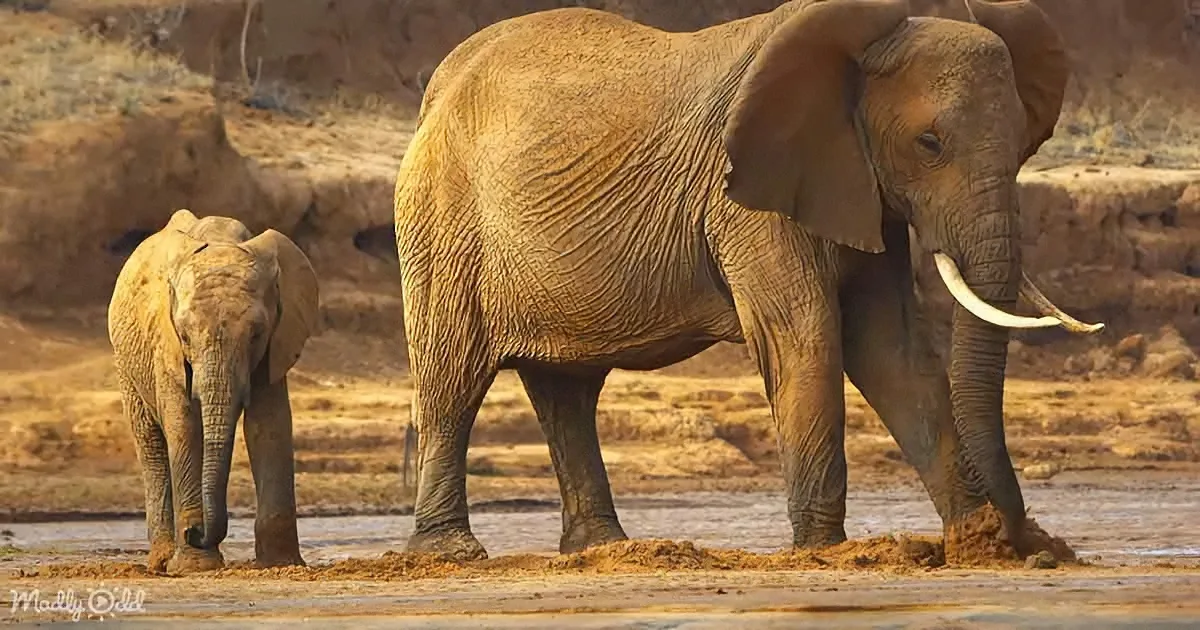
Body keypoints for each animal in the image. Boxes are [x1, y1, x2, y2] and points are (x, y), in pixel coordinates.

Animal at [107, 209, 319, 574]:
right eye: (184, 335)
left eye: (256, 334)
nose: (195, 532)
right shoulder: (165, 347)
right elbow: (184, 426)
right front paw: (195, 567)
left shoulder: (276, 341)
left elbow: (269, 426)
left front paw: (280, 564)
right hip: (126, 364)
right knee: (150, 442)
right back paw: (161, 562)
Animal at [391, 0, 1104, 561]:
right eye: (929, 144)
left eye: (1024, 144)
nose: (1036, 542)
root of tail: (436, 90)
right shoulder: (749, 199)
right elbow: (807, 339)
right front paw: (824, 553)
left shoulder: (858, 189)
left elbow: (891, 352)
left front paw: (977, 544)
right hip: (442, 225)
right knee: (453, 380)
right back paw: (451, 553)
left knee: (567, 391)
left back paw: (603, 550)